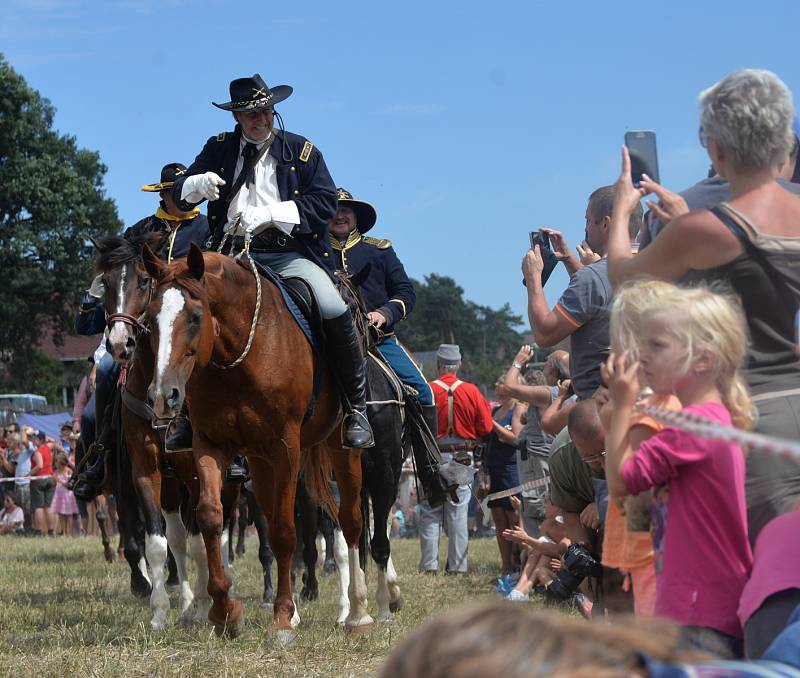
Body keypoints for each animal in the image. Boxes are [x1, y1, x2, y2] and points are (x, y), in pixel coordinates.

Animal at [141, 244, 372, 636]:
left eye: (195, 316)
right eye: (150, 319)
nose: (163, 396)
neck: (237, 357)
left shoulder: (286, 448)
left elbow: (284, 530)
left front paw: (281, 619)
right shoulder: (210, 444)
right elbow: (210, 517)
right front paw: (224, 611)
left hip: (339, 450)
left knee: (351, 520)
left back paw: (356, 612)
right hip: (261, 465)